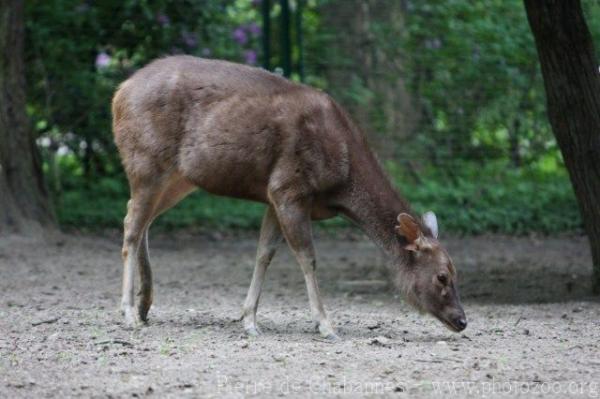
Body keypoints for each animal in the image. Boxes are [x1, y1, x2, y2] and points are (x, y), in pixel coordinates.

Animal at [113, 56, 468, 340]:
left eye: (456, 272)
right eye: (442, 275)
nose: (462, 320)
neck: (342, 184)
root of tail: (119, 92)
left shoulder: (274, 198)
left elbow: (264, 253)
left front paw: (249, 319)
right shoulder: (288, 187)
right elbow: (307, 257)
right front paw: (325, 324)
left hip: (179, 178)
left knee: (143, 220)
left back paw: (145, 303)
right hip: (146, 160)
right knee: (131, 224)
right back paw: (129, 311)